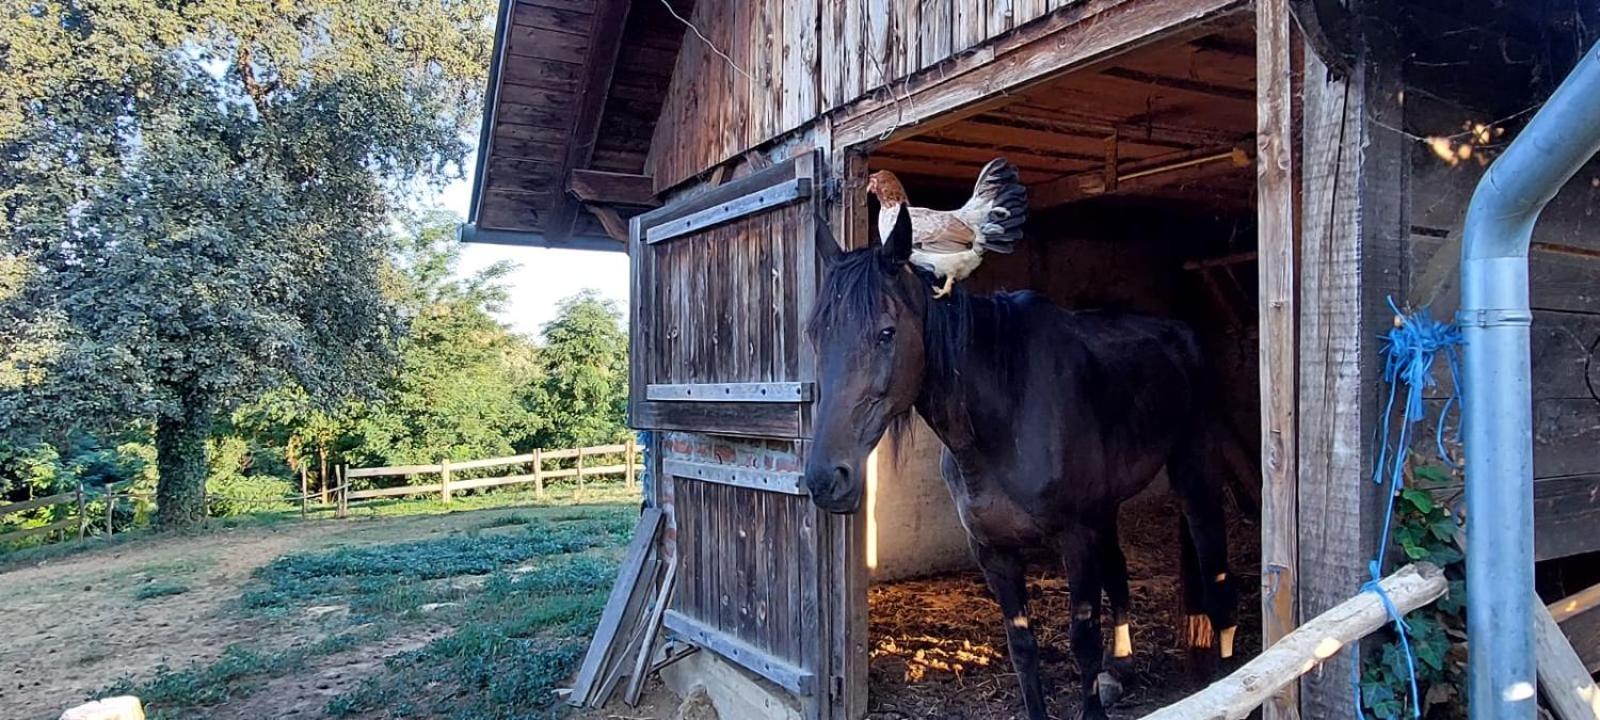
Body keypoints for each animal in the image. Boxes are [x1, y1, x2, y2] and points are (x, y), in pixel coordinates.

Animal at [800, 204, 1235, 716]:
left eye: (887, 333)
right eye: (814, 334)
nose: (826, 478)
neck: (1006, 416)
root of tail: (1183, 334)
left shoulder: (1075, 538)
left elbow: (1082, 641)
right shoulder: (994, 552)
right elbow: (1022, 649)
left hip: (1194, 475)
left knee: (1215, 570)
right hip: (1106, 509)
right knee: (1120, 572)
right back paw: (1121, 670)